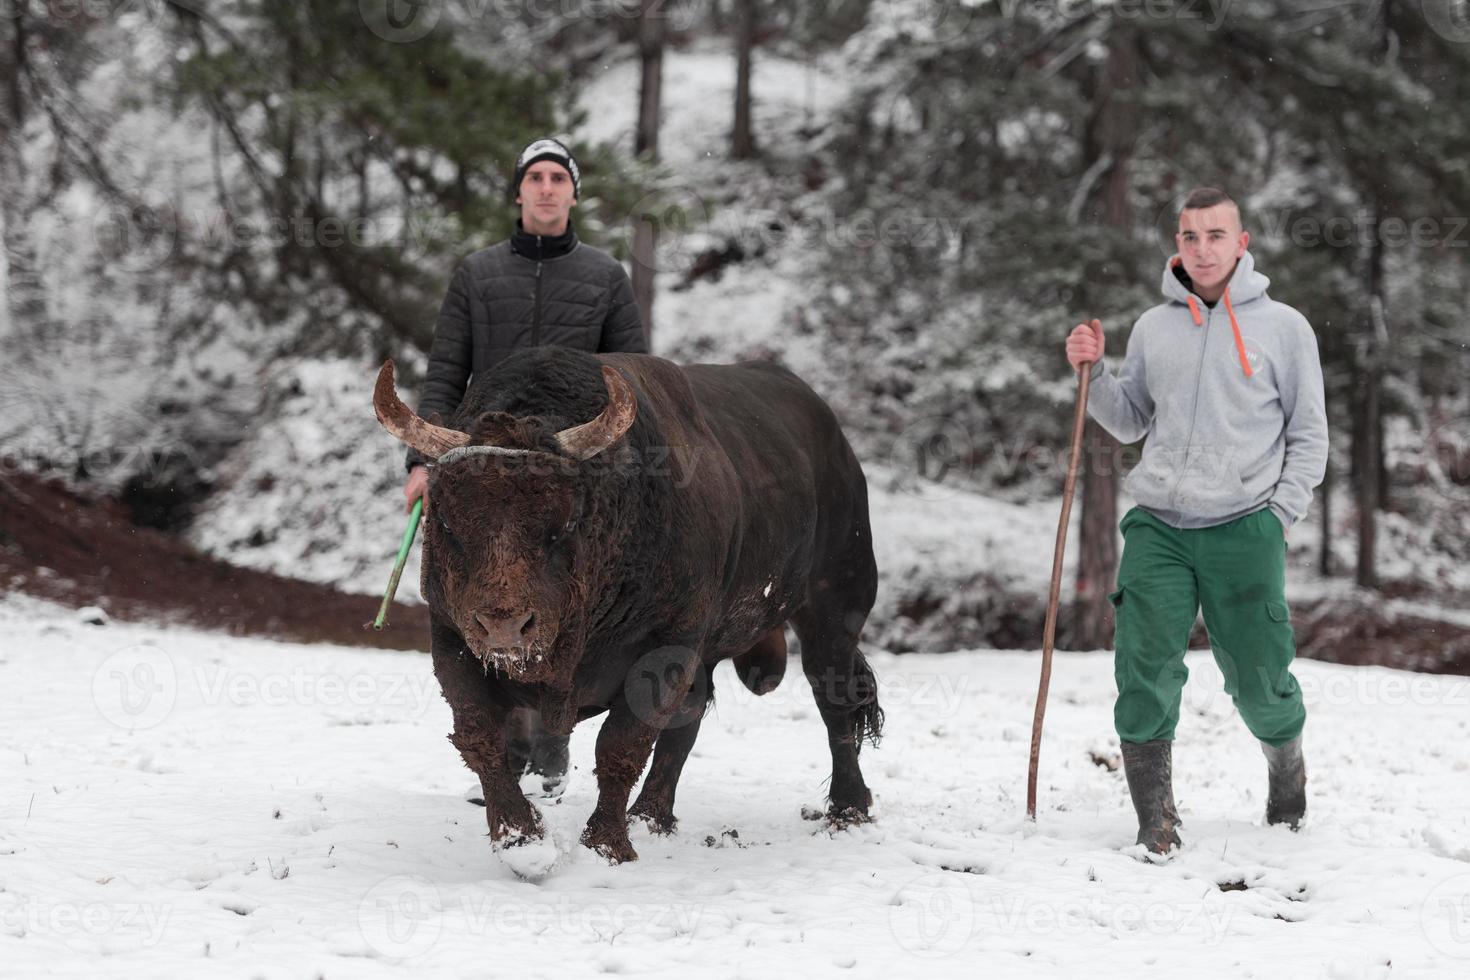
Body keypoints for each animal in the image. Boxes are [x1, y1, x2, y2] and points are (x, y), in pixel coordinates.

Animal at [376, 351, 882, 863]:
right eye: (445, 520)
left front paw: (606, 844)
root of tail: (835, 440)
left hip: (833, 609)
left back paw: (848, 809)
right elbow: (481, 737)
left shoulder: (665, 647)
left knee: (834, 699)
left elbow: (621, 745)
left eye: (566, 521)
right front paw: (522, 840)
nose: (505, 626)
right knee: (688, 724)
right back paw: (652, 816)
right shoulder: (452, 641)